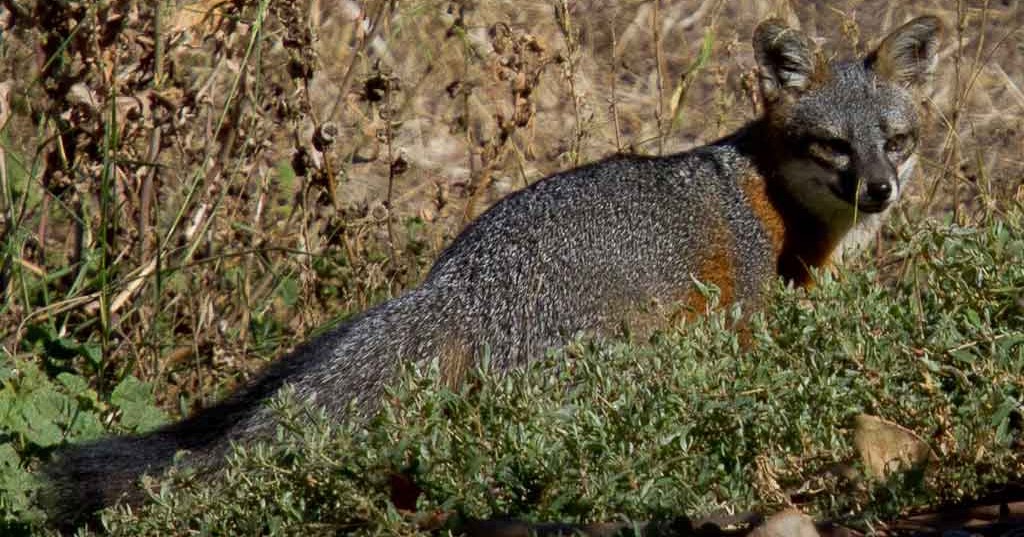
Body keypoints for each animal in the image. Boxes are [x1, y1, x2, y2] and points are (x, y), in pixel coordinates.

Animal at [44, 15, 942, 527]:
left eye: (895, 141)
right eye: (834, 145)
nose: (880, 189)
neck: (774, 202)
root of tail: (460, 280)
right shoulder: (746, 322)